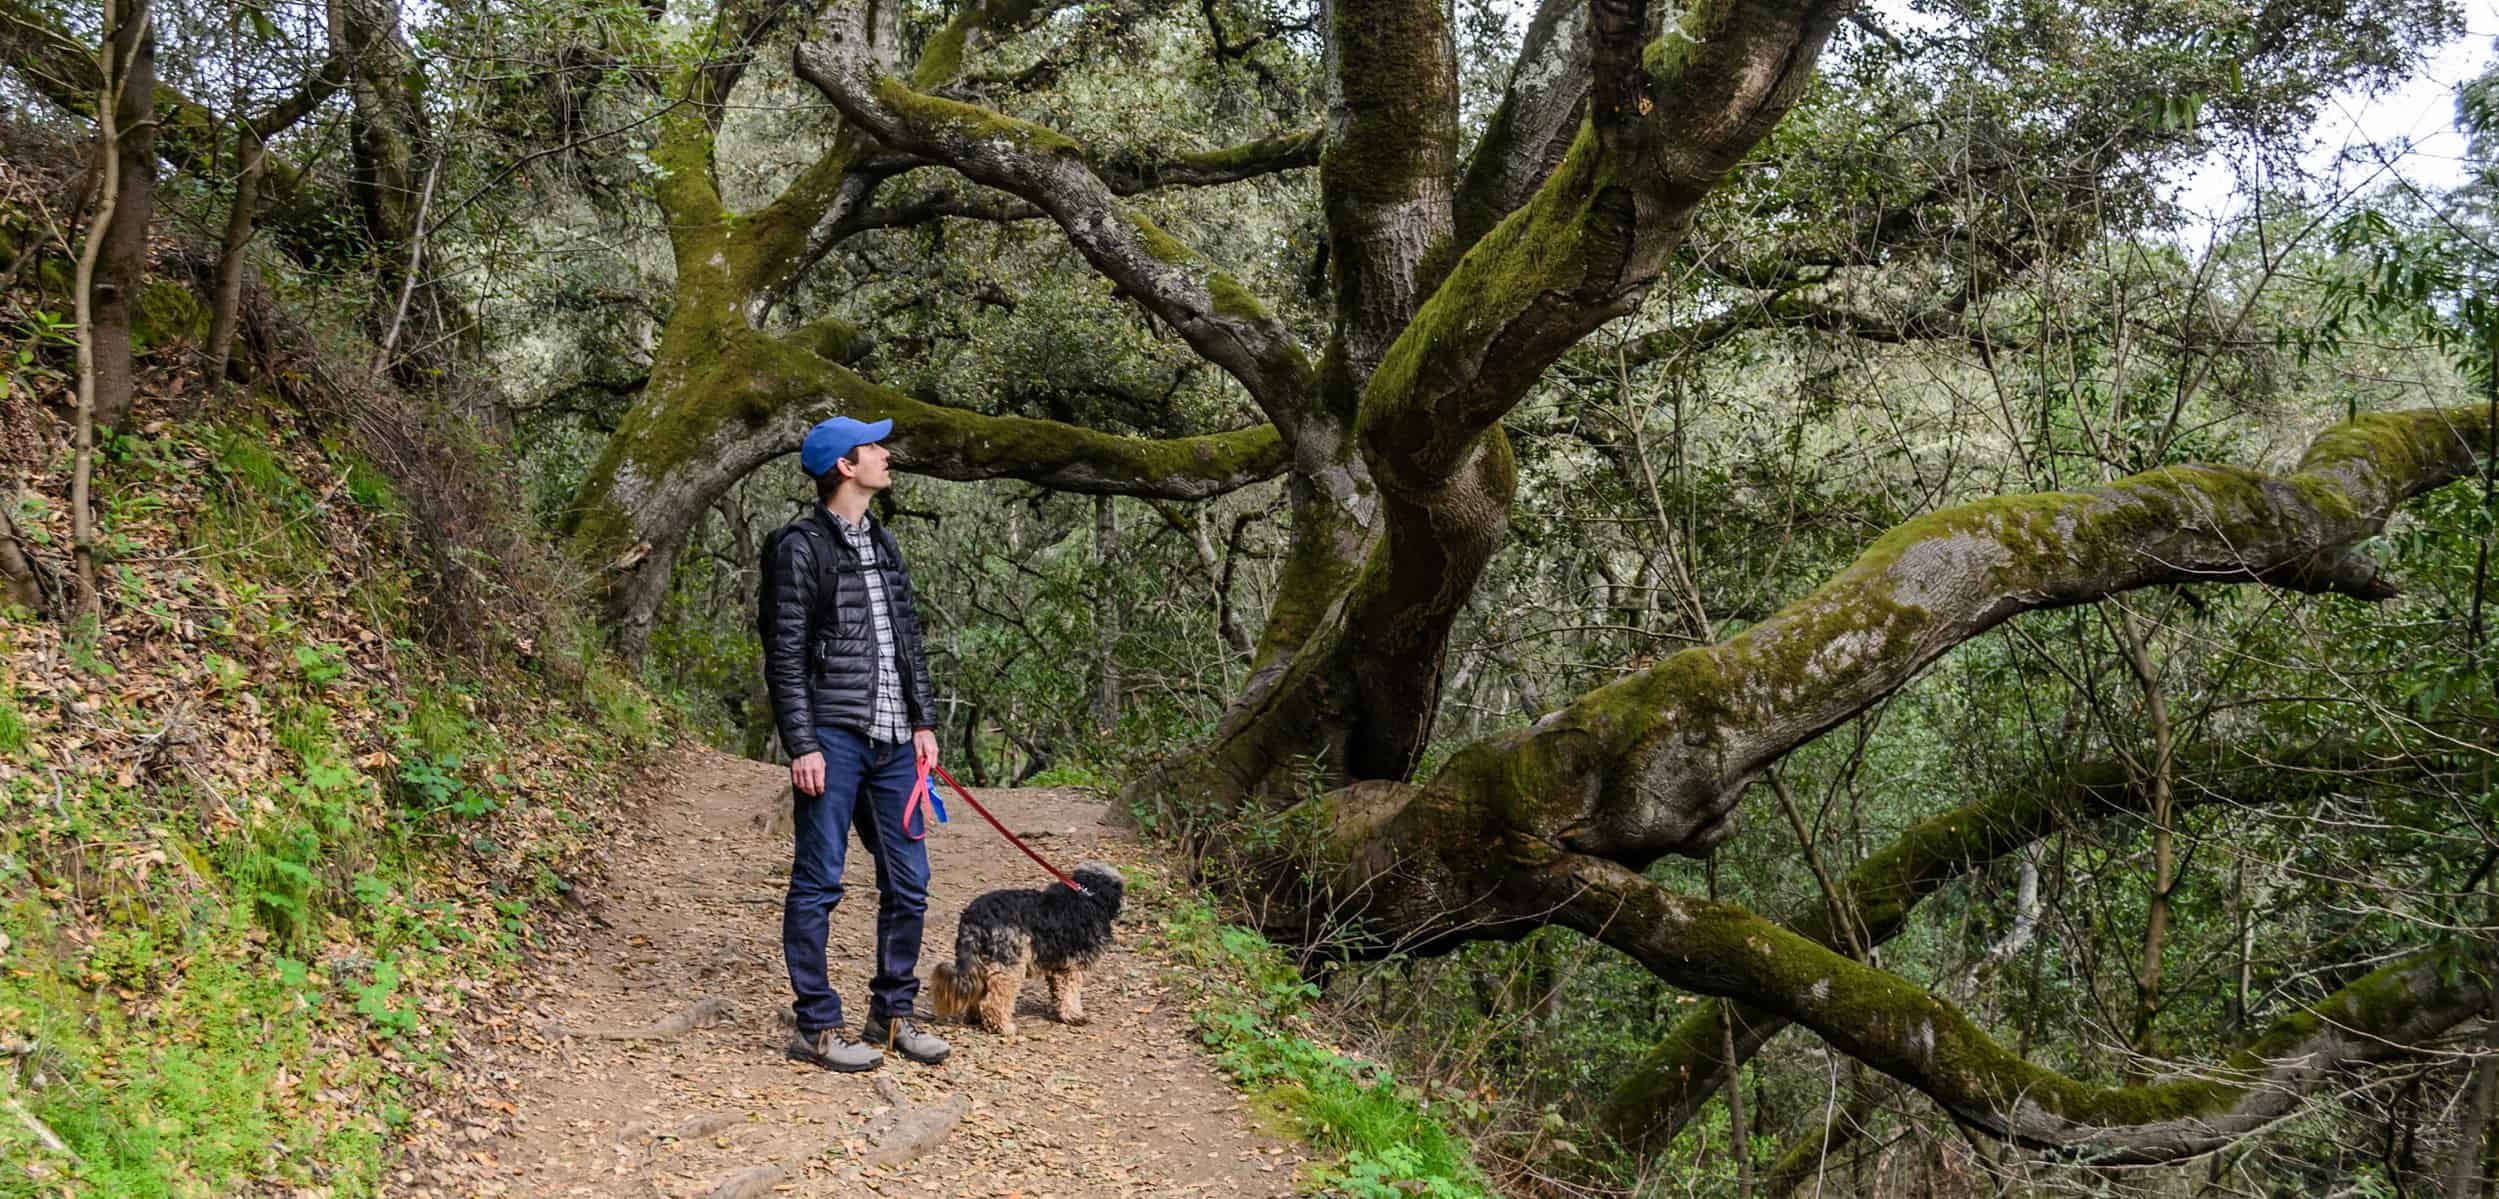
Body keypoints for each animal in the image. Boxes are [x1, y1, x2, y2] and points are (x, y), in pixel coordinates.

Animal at [934, 859, 1129, 1034]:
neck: (1087, 896)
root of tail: (974, 917)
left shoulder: (1058, 967)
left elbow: (1059, 993)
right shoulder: (1073, 967)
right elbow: (1070, 993)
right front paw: (1075, 1015)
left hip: (982, 962)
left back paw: (975, 1017)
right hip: (1010, 966)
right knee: (993, 1002)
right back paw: (1002, 1027)